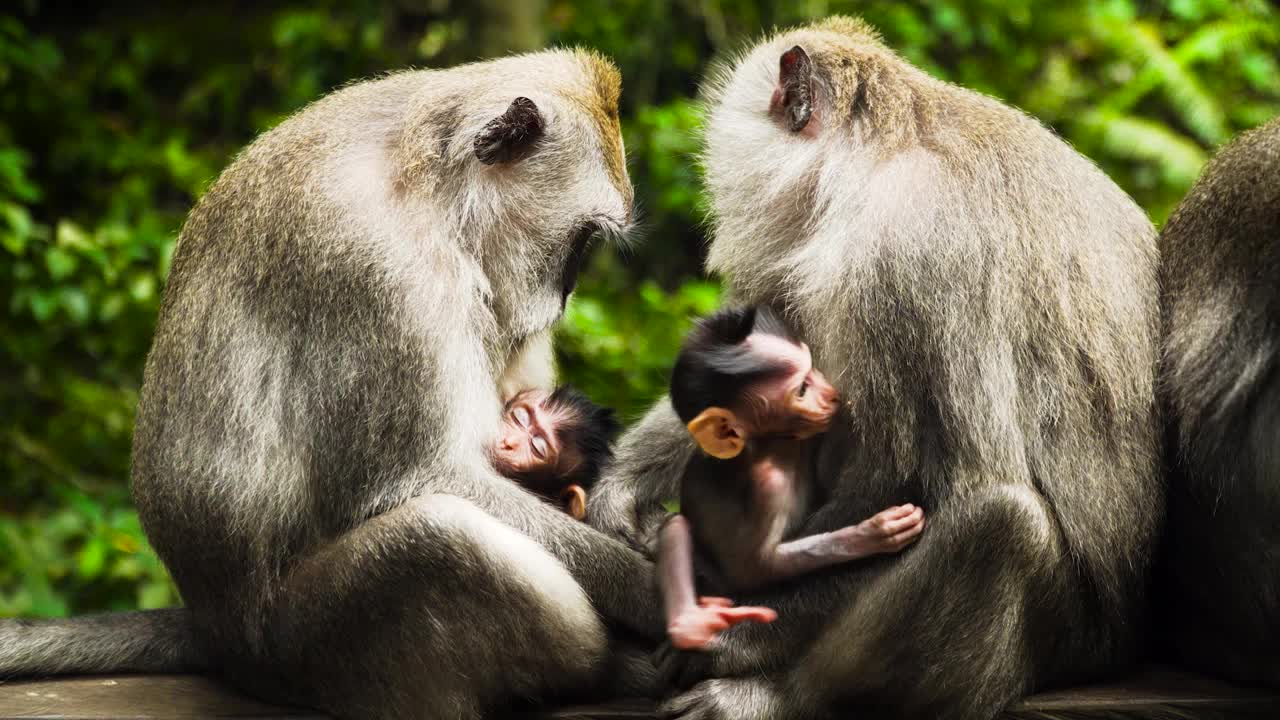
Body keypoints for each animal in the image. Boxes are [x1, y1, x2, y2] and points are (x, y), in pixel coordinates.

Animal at [660, 304, 931, 648]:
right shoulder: (768, 487)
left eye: (813, 369)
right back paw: (689, 624)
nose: (832, 394)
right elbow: (756, 568)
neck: (777, 445)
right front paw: (874, 534)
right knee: (677, 527)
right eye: (802, 389)